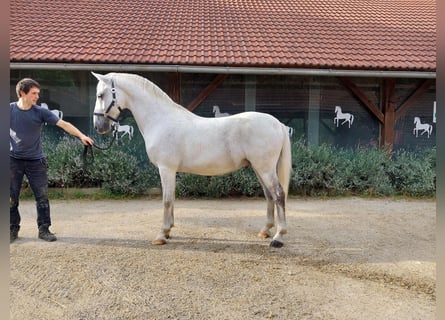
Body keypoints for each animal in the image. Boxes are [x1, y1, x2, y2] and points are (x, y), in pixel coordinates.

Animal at [92, 72, 292, 248]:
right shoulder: (169, 171)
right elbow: (171, 198)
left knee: (279, 194)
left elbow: (166, 200)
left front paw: (161, 235)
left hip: (265, 168)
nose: (98, 127)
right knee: (269, 195)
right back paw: (265, 231)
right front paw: (169, 231)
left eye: (101, 95)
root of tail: (278, 124)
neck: (160, 120)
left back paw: (278, 237)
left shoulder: (166, 169)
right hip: (259, 168)